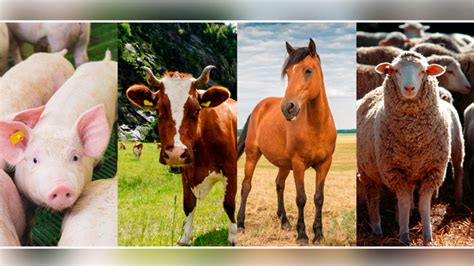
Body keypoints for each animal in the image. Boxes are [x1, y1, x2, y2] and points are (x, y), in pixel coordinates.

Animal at [126, 65, 237, 246]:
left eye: (196, 110)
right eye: (158, 110)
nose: (175, 154)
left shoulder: (231, 170)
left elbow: (229, 204)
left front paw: (233, 236)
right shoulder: (186, 173)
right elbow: (188, 205)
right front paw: (184, 238)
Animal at [237, 38, 336, 244]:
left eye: (308, 70)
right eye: (288, 73)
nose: (287, 107)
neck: (317, 126)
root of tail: (259, 107)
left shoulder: (325, 164)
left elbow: (318, 198)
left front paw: (319, 234)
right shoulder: (298, 164)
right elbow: (301, 198)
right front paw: (302, 235)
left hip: (284, 164)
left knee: (279, 184)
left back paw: (284, 222)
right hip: (252, 155)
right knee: (246, 185)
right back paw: (241, 223)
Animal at [358, 51, 450, 246]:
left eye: (423, 71)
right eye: (395, 70)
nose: (409, 88)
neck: (413, 135)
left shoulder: (433, 172)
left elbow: (423, 205)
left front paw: (427, 237)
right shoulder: (394, 172)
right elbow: (405, 204)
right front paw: (404, 237)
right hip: (368, 172)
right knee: (373, 199)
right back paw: (377, 229)